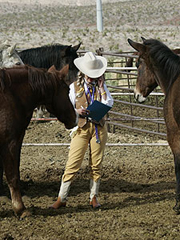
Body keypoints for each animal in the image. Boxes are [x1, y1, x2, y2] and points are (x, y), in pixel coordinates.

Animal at [0, 64, 76, 218]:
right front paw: (20, 209)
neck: (10, 96)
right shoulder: (10, 143)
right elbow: (13, 176)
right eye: (67, 90)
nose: (74, 117)